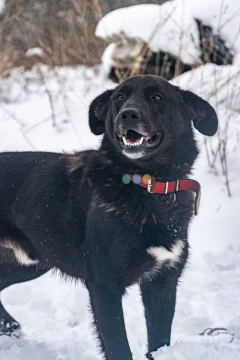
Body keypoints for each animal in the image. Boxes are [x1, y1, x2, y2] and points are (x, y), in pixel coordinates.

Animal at [0, 74, 218, 358]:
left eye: (157, 97)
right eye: (119, 98)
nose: (128, 114)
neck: (148, 185)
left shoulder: (162, 282)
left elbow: (159, 342)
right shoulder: (104, 287)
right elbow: (118, 346)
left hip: (30, 262)